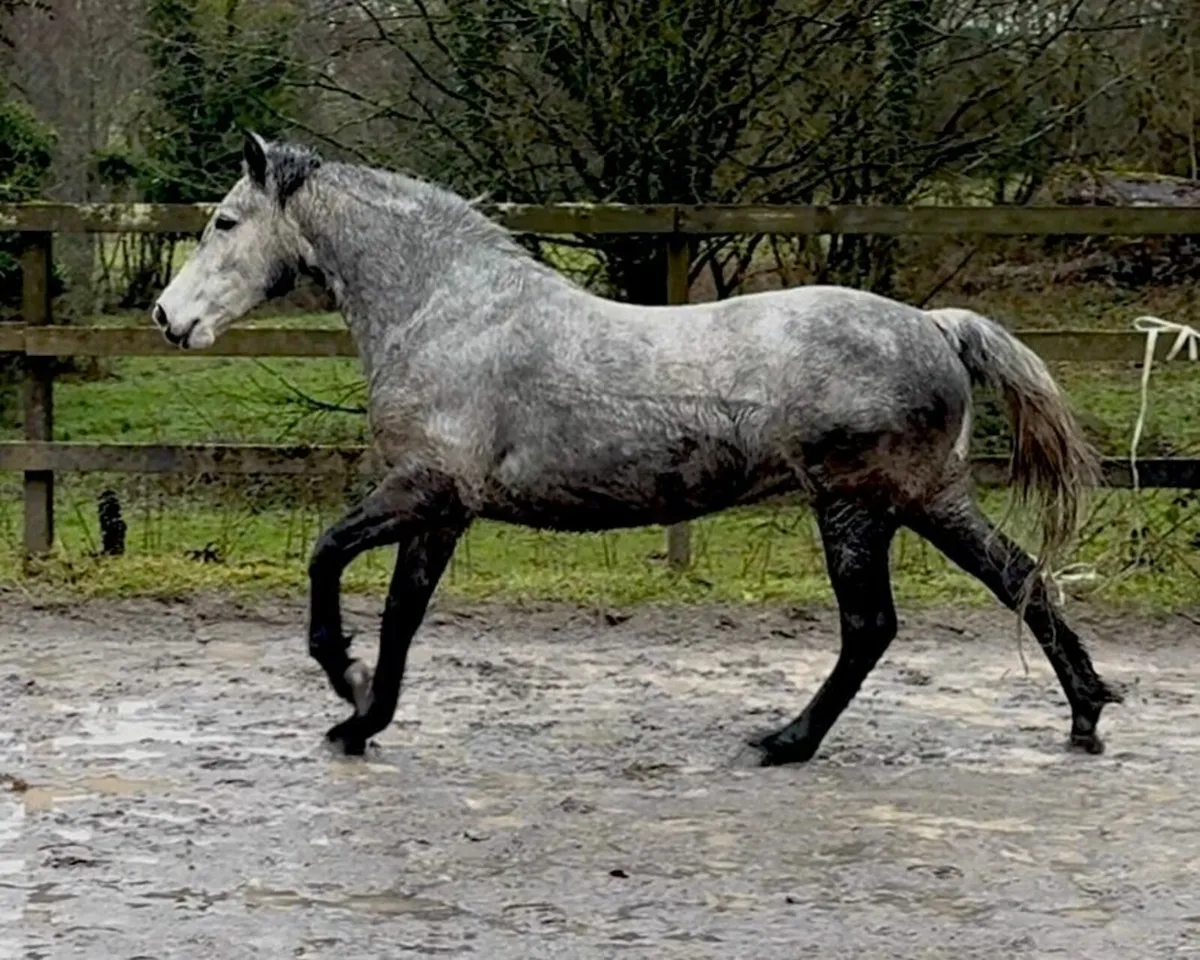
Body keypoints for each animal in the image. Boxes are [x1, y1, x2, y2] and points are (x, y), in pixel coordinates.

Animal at [151, 133, 1122, 764]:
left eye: (225, 222)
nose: (168, 318)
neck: (448, 309)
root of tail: (934, 324)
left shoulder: (426, 489)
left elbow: (333, 563)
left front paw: (344, 686)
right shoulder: (443, 512)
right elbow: (399, 614)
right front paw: (363, 718)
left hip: (857, 506)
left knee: (874, 626)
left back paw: (785, 742)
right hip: (917, 503)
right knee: (1019, 579)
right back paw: (1085, 716)